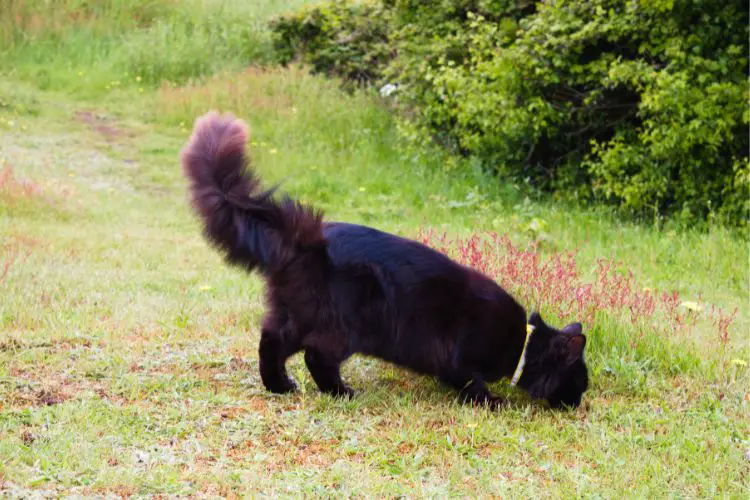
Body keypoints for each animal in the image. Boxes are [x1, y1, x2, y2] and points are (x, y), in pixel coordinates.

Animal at [184, 112, 592, 410]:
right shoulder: (459, 355)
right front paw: (492, 401)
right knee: (317, 356)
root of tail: (310, 239)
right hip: (344, 324)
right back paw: (341, 392)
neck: (521, 344)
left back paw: (280, 386)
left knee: (271, 342)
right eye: (580, 382)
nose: (579, 403)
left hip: (296, 314)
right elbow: (471, 382)